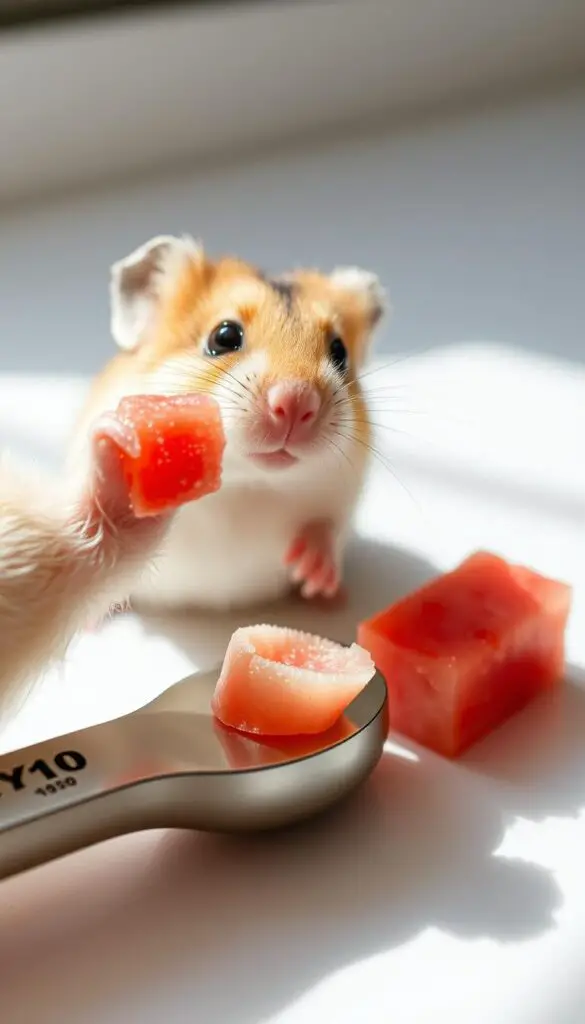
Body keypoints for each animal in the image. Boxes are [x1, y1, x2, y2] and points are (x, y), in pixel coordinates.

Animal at [72, 235, 387, 612]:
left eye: (339, 352)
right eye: (223, 337)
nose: (296, 401)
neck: (246, 483)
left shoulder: (344, 496)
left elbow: (328, 527)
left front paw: (310, 567)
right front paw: (115, 438)